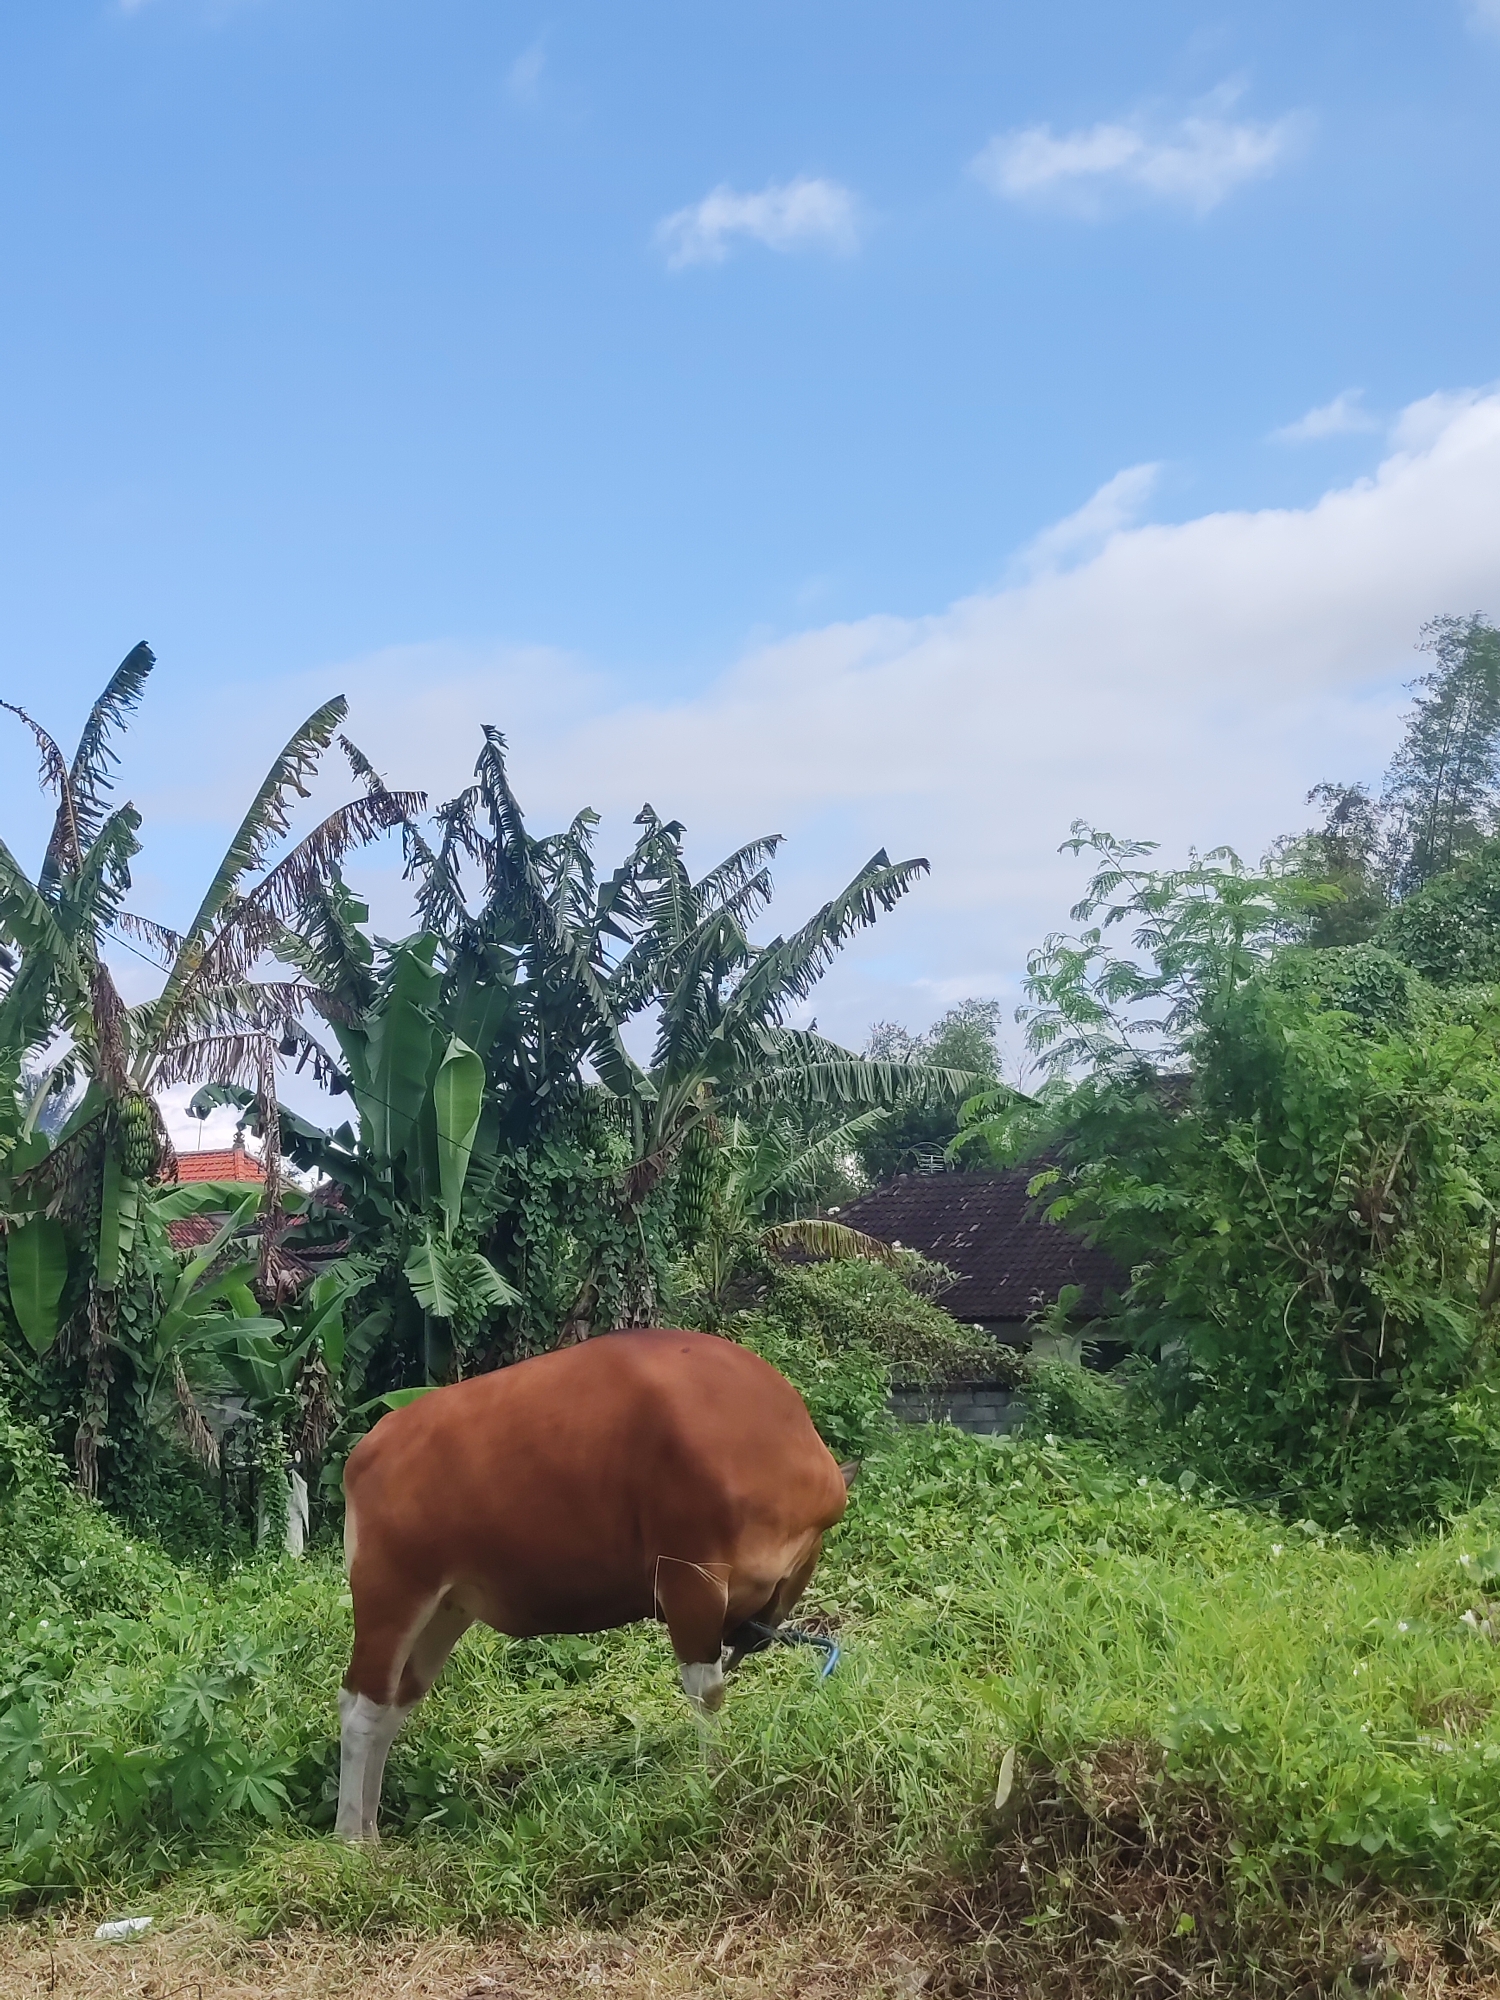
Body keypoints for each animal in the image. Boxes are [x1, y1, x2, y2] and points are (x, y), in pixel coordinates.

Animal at [334, 1327, 853, 1842]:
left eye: (804, 1564)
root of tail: (366, 1452)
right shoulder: (690, 1579)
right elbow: (707, 1695)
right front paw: (715, 1782)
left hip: (445, 1609)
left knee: (390, 1706)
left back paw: (371, 1831)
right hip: (391, 1594)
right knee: (361, 1709)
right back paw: (351, 1837)